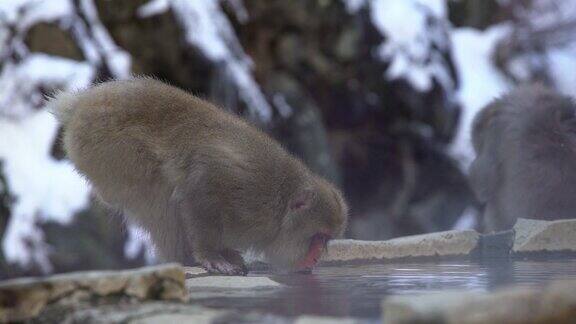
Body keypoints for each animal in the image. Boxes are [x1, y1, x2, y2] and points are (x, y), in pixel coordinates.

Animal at [49, 77, 346, 274]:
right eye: (318, 237)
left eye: (326, 240)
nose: (316, 258)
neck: (278, 206)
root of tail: (79, 104)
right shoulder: (242, 185)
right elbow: (197, 189)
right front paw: (210, 255)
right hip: (109, 153)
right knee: (161, 196)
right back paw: (187, 257)